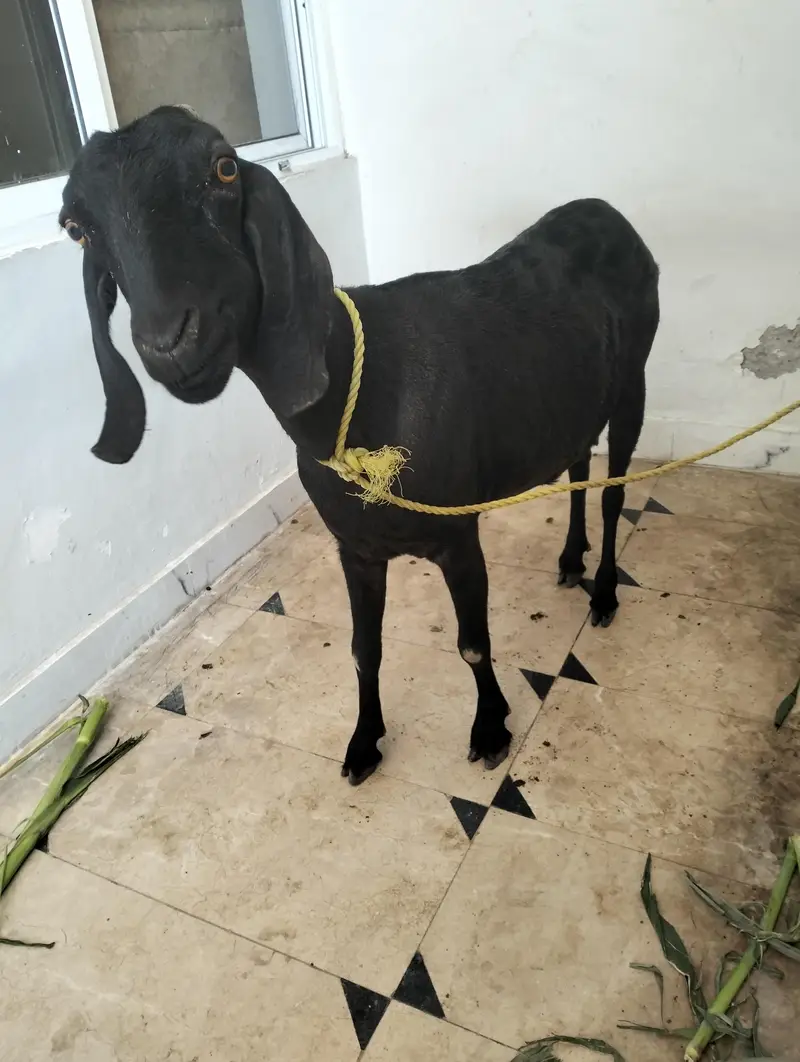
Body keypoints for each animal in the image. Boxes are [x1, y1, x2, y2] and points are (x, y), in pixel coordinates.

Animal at [61, 107, 660, 785]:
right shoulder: (356, 548)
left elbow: (472, 642)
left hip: (634, 380)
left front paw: (490, 729)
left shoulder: (458, 535)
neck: (363, 388)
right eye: (76, 227)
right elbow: (362, 650)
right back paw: (569, 559)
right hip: (580, 395)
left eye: (224, 168)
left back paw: (605, 592)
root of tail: (610, 212)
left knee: (614, 494)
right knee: (579, 463)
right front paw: (364, 741)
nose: (172, 343)